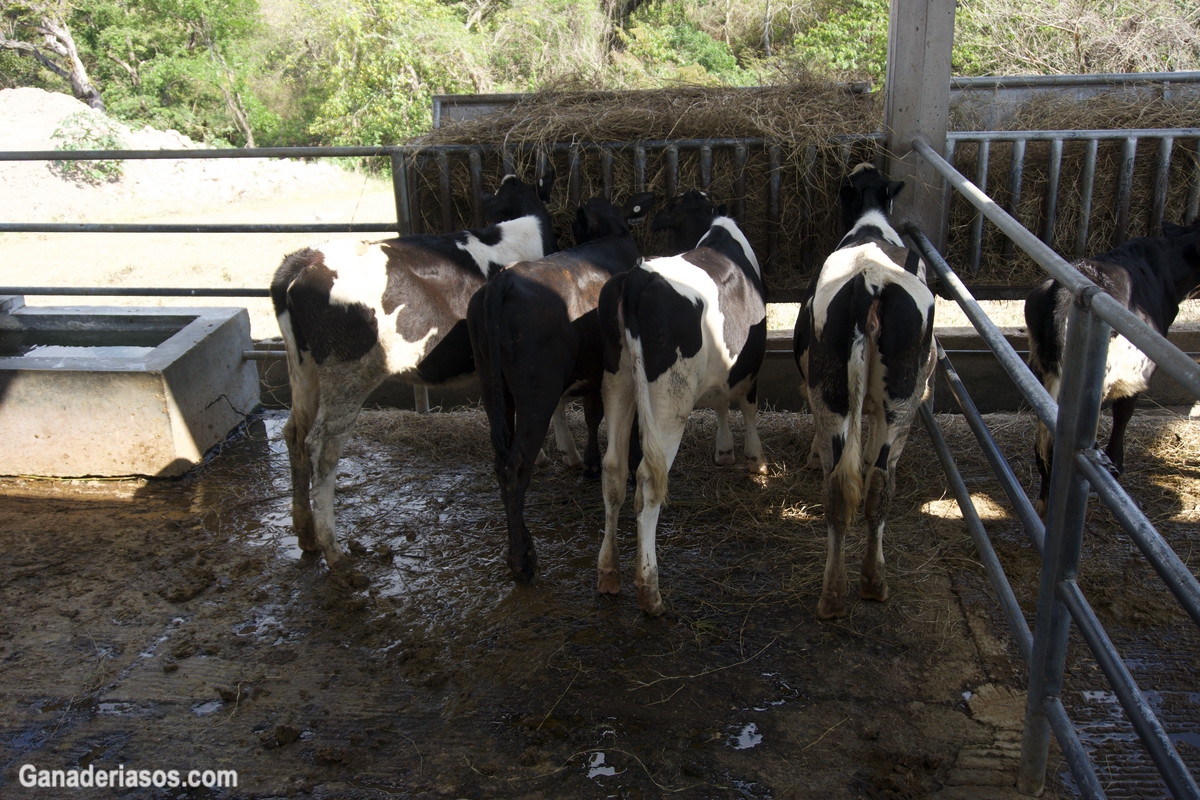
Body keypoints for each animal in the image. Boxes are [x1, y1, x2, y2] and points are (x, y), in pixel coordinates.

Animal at [270, 170, 559, 575]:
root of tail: (303, 260)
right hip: (349, 372)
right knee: (322, 447)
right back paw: (336, 554)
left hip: (304, 367)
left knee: (294, 432)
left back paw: (306, 534)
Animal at [465, 191, 657, 582]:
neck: (613, 233)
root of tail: (501, 282)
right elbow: (622, 422)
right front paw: (625, 467)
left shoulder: (595, 370)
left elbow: (593, 414)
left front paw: (591, 465)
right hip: (537, 394)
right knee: (515, 467)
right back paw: (522, 563)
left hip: (493, 390)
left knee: (500, 463)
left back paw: (524, 547)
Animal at [595, 190, 763, 618]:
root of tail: (638, 277)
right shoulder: (750, 363)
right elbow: (748, 405)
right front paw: (754, 458)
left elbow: (720, 403)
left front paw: (724, 451)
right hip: (669, 403)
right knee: (649, 480)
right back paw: (649, 590)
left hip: (618, 382)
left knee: (614, 470)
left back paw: (609, 573)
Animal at [796, 165, 936, 623]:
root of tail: (869, 283)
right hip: (901, 400)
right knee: (873, 482)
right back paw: (863, 585)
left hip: (837, 392)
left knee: (853, 485)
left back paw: (846, 590)